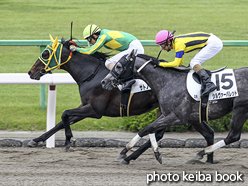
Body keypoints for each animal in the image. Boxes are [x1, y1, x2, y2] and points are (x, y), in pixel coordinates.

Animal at [28, 36, 166, 161]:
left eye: (45, 54)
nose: (30, 72)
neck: (91, 74)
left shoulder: (95, 110)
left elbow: (65, 113)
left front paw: (67, 141)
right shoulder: (85, 106)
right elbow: (61, 122)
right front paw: (36, 140)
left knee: (156, 133)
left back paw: (129, 156)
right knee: (158, 134)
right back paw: (131, 156)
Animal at [101, 49, 248, 164]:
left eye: (119, 66)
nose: (104, 81)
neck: (168, 82)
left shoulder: (177, 117)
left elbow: (147, 129)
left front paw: (125, 151)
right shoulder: (167, 114)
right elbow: (151, 129)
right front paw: (152, 154)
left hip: (240, 109)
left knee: (233, 136)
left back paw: (201, 153)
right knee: (216, 134)